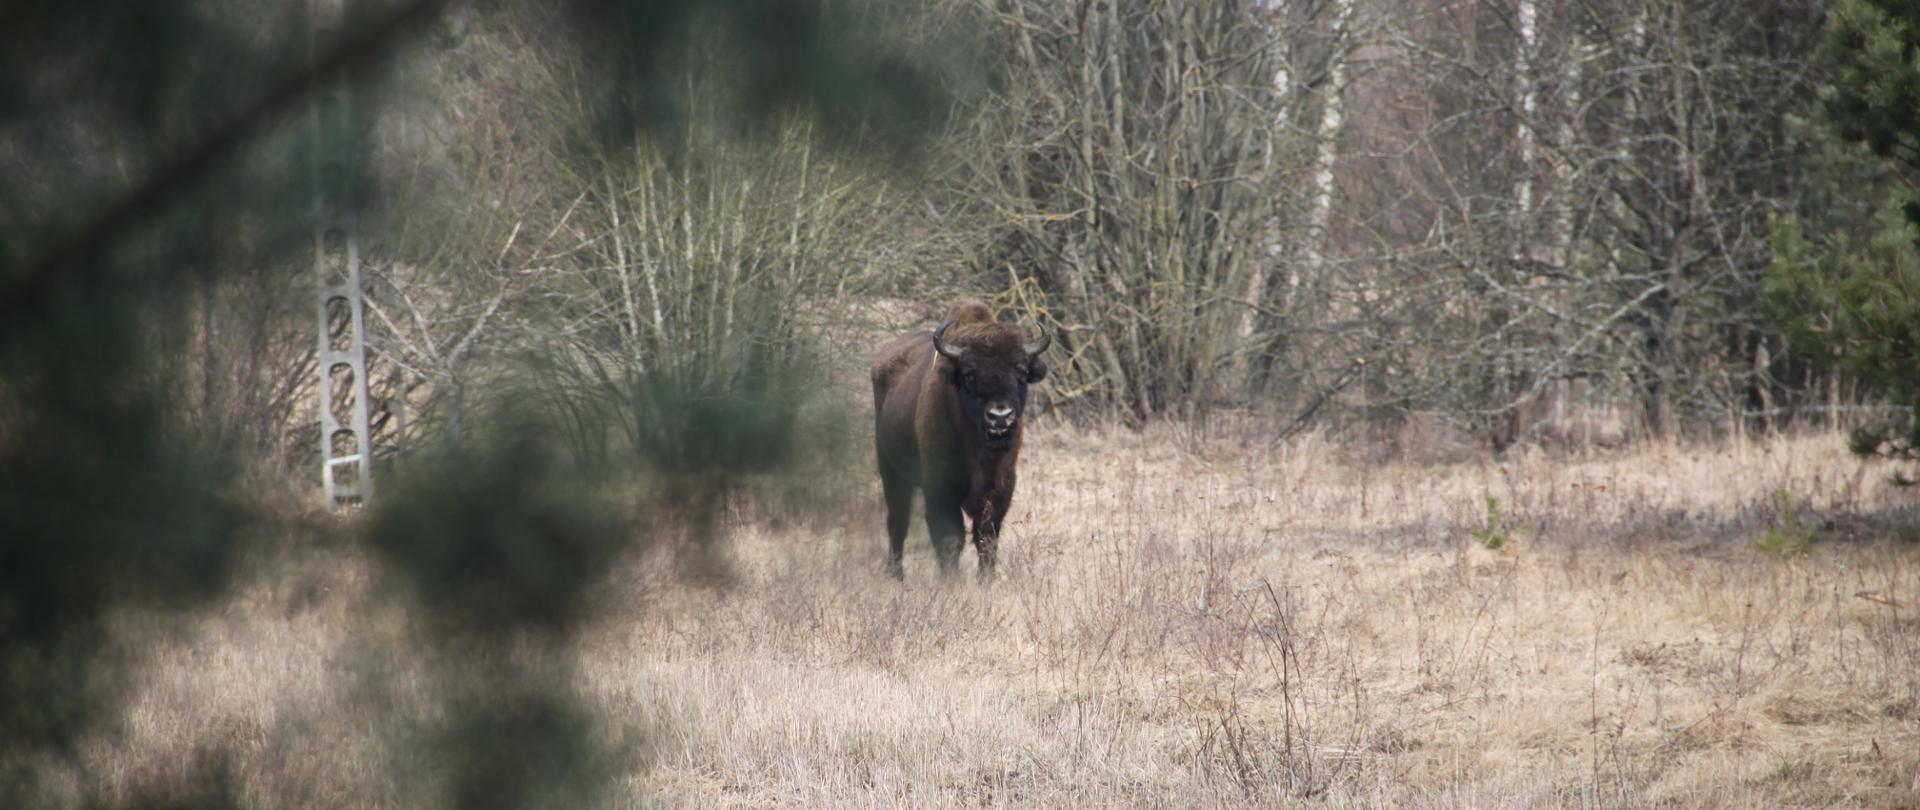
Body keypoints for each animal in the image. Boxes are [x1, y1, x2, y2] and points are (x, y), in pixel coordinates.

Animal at [869, 300, 1050, 579]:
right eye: (969, 373)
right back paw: (896, 576)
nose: (1000, 416)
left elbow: (986, 538)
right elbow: (950, 539)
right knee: (898, 521)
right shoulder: (940, 487)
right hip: (890, 470)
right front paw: (950, 582)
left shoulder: (1000, 488)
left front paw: (986, 580)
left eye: (1021, 371)